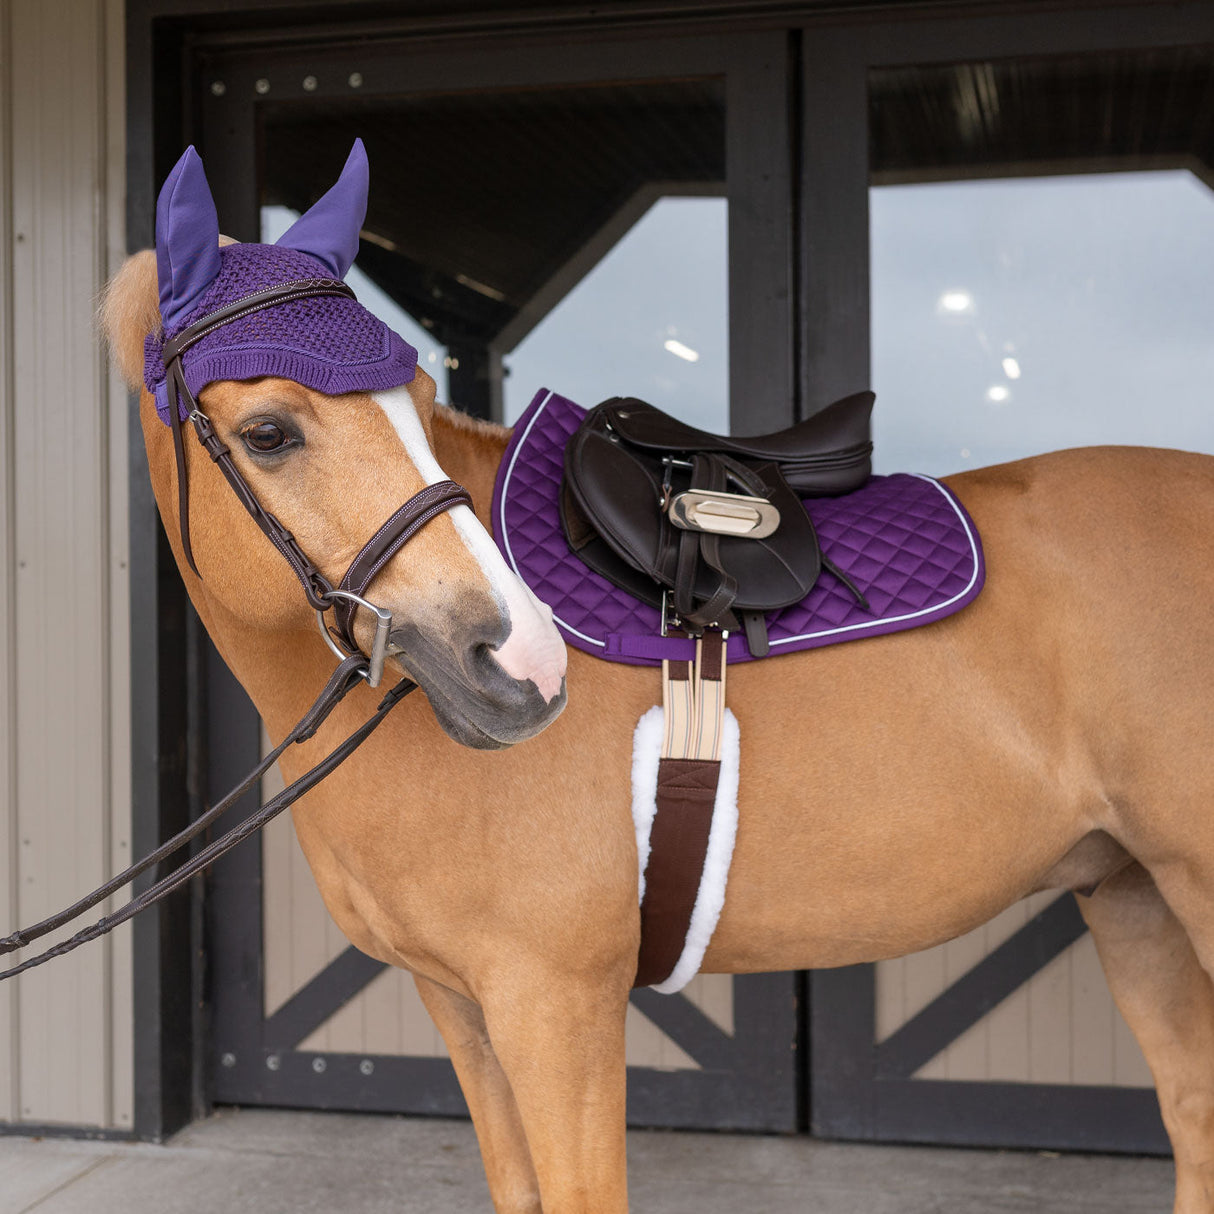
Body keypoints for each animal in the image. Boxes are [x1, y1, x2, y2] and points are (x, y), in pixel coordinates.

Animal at [102, 151, 1214, 1214]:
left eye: (416, 405)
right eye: (269, 432)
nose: (518, 663)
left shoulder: (556, 1001)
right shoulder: (460, 1003)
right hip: (1131, 898)